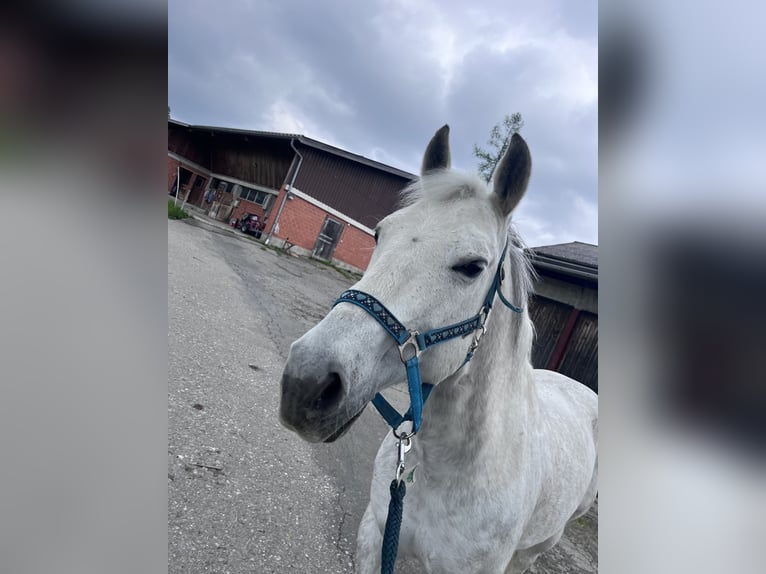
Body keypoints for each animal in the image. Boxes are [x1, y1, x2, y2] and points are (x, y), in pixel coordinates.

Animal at [279, 125, 598, 574]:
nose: (305, 383)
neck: (439, 467)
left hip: (539, 545)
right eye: (379, 234)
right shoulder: (374, 533)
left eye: (472, 266)